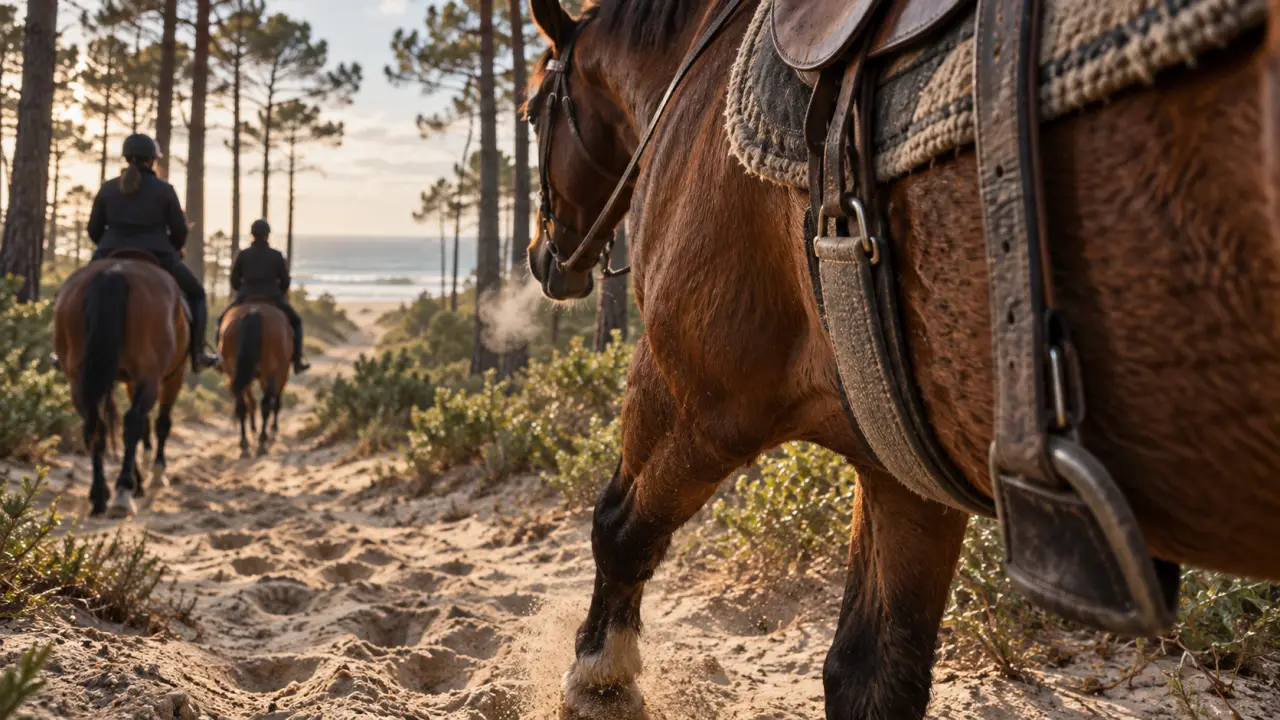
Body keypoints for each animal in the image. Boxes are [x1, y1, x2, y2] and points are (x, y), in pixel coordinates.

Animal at [54, 255, 188, 518]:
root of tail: (113, 273)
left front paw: (139, 481)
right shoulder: (171, 377)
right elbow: (160, 423)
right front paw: (154, 473)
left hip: (78, 380)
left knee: (96, 426)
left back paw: (100, 495)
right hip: (150, 375)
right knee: (133, 422)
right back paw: (123, 492)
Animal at [218, 302, 292, 458]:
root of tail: (254, 312)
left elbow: (251, 402)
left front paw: (254, 430)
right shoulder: (281, 374)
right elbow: (275, 403)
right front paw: (273, 431)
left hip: (234, 370)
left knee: (242, 406)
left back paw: (244, 444)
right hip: (271, 371)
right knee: (266, 405)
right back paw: (262, 442)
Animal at [523, 0, 1280, 717]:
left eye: (530, 114)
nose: (539, 257)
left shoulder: (694, 388)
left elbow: (620, 529)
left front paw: (599, 679)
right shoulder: (907, 468)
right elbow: (872, 675)